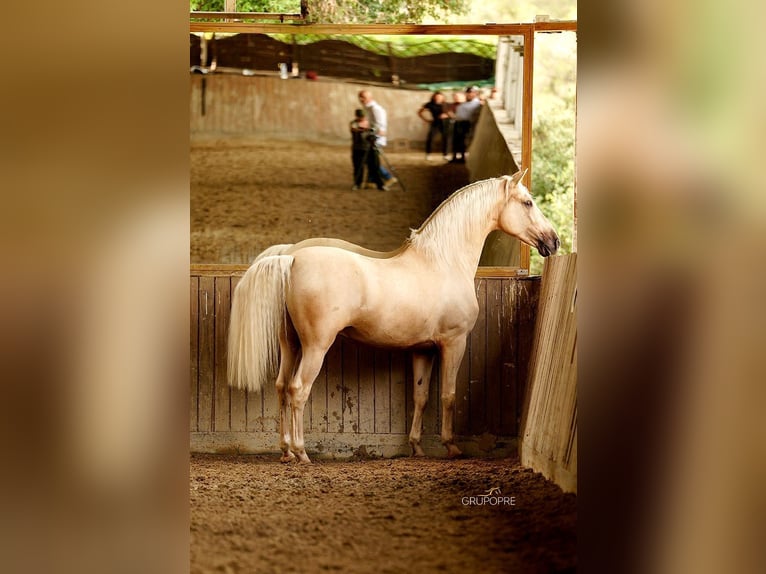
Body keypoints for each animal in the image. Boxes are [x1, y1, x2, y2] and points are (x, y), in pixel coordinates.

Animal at [228, 171, 559, 463]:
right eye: (528, 202)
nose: (554, 241)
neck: (443, 262)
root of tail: (292, 257)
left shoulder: (423, 350)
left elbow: (421, 396)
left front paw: (417, 447)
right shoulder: (454, 342)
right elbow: (449, 395)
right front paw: (451, 447)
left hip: (290, 344)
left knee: (282, 386)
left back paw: (285, 451)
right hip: (315, 347)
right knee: (298, 390)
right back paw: (301, 452)